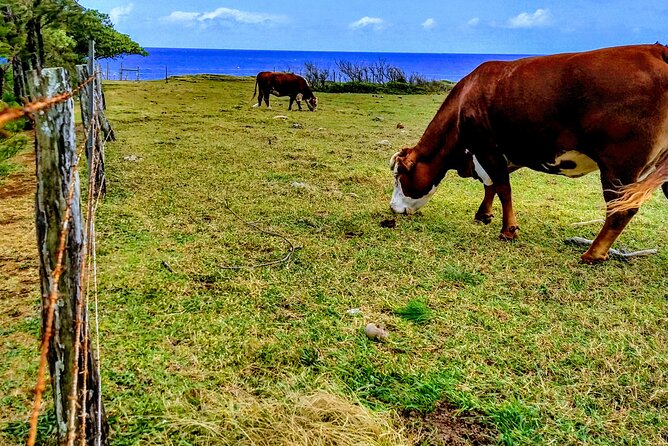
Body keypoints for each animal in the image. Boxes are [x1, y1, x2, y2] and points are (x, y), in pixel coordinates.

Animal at [388, 43, 668, 264]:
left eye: (400, 175)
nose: (392, 208)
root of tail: (656, 50)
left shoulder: (488, 147)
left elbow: (503, 188)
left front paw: (508, 230)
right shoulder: (502, 155)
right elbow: (491, 185)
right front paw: (484, 214)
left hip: (619, 165)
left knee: (621, 210)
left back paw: (593, 254)